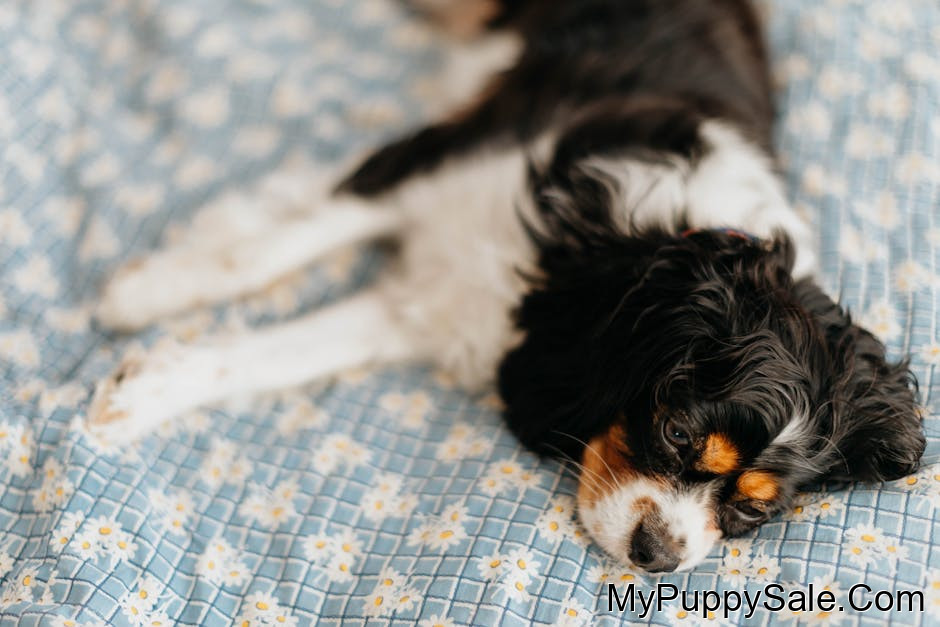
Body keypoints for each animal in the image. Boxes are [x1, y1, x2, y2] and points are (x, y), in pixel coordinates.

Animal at [89, 0, 926, 573]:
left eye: (750, 512)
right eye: (678, 433)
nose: (659, 553)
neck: (602, 255)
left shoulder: (434, 306)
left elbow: (275, 354)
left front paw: (143, 390)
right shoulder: (435, 158)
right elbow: (267, 251)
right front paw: (148, 291)